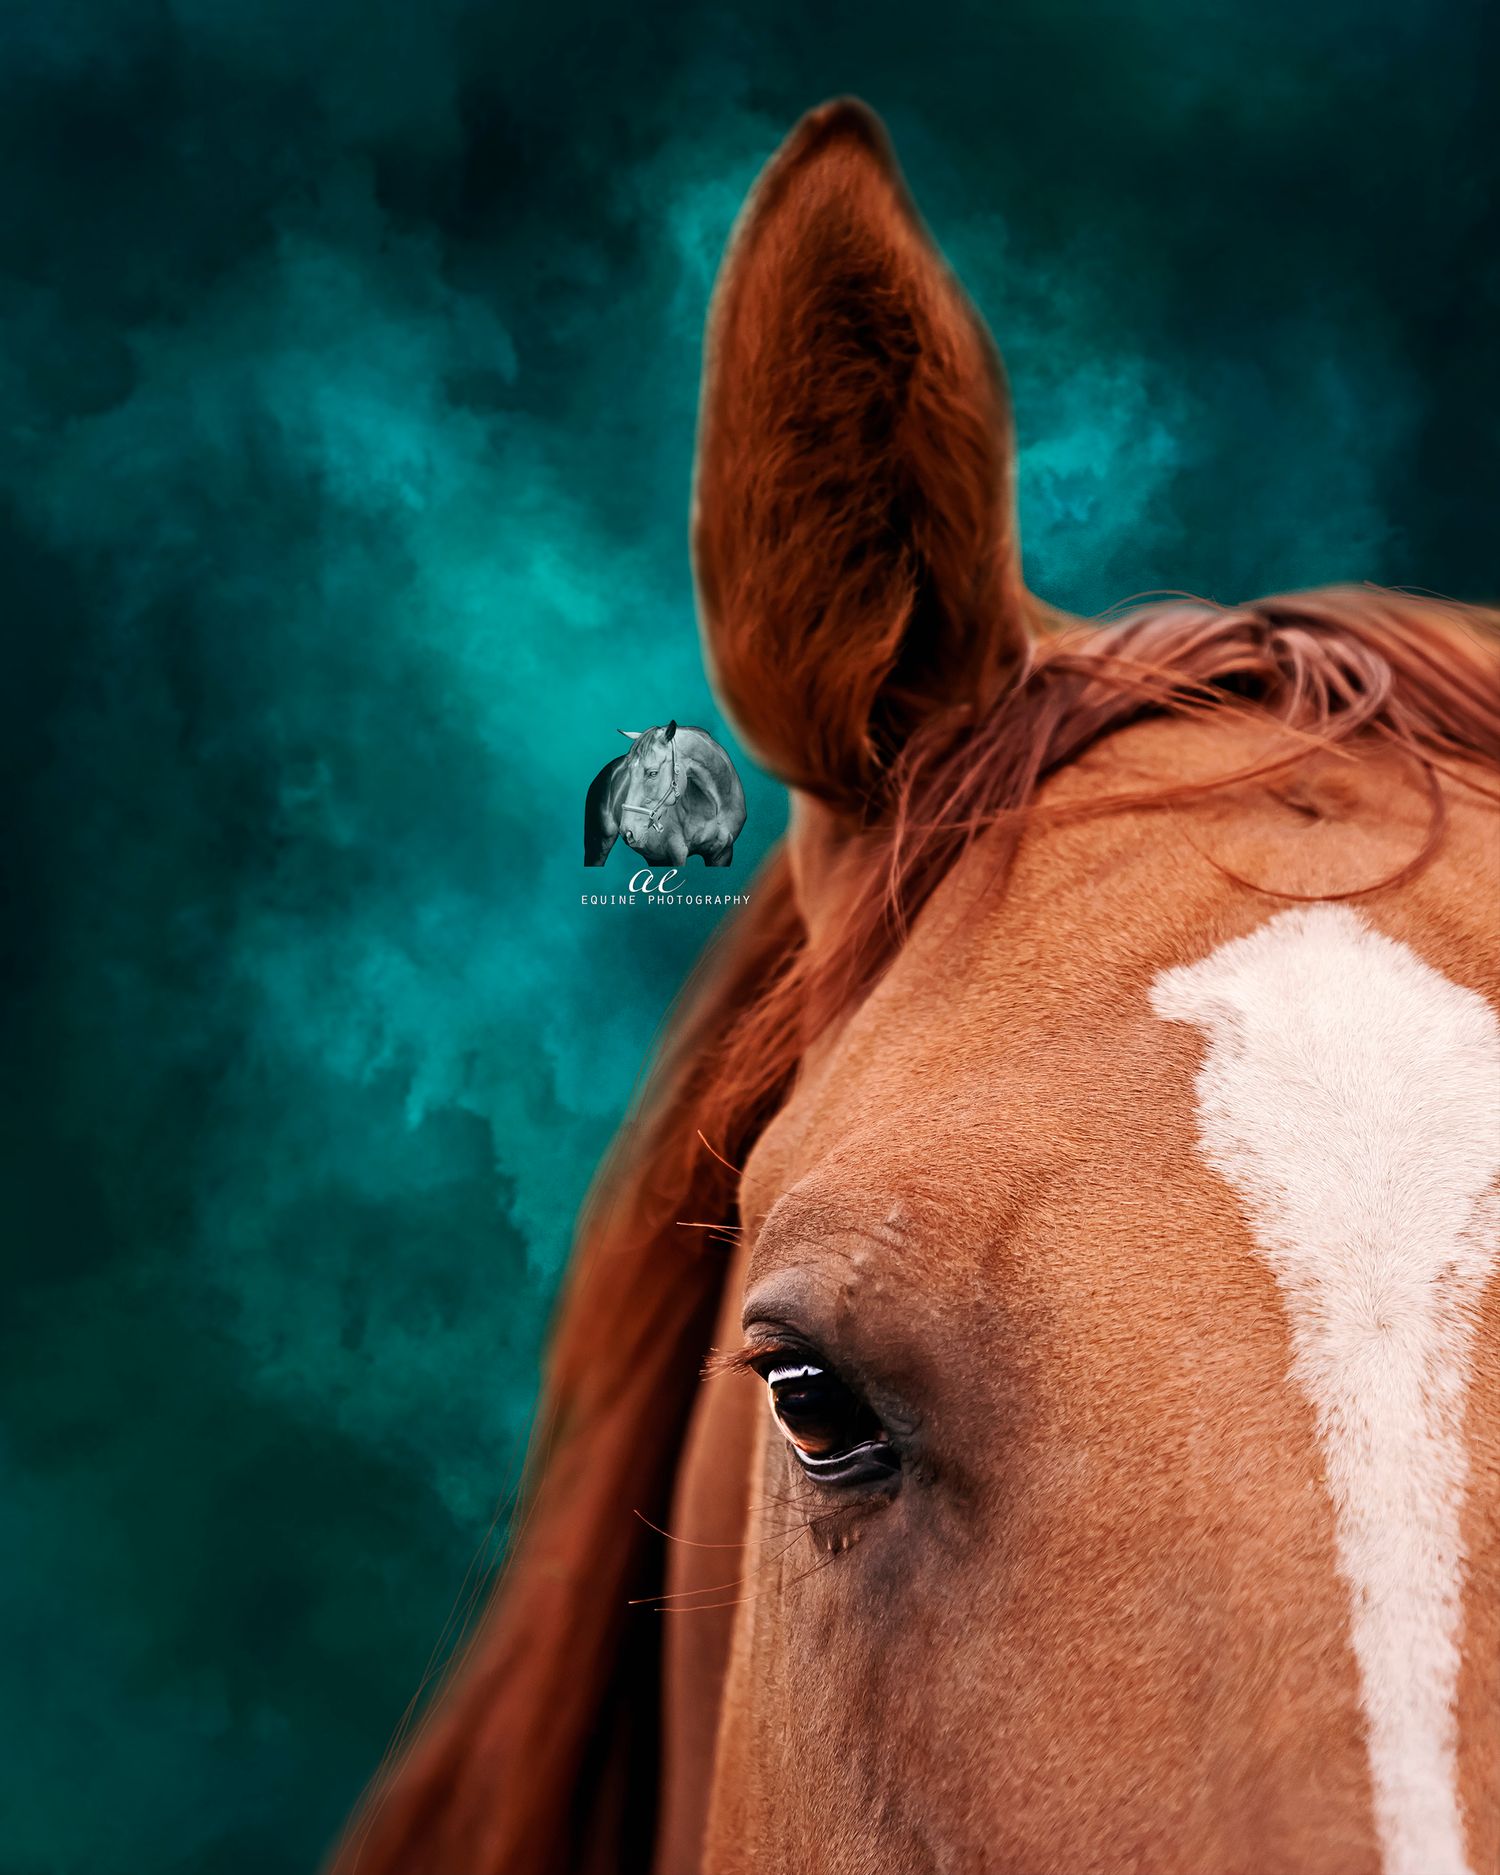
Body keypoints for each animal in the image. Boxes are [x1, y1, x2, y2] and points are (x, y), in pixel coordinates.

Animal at [584, 721, 747, 867]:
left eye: (653, 773)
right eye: (629, 770)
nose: (627, 831)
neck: (713, 808)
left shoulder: (722, 853)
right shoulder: (677, 854)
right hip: (599, 847)